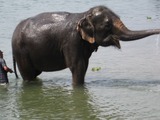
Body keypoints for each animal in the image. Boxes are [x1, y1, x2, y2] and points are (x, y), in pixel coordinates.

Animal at [11, 5, 160, 85]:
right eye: (107, 25)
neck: (83, 14)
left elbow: (85, 65)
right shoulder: (71, 40)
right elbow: (78, 66)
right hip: (21, 52)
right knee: (29, 75)